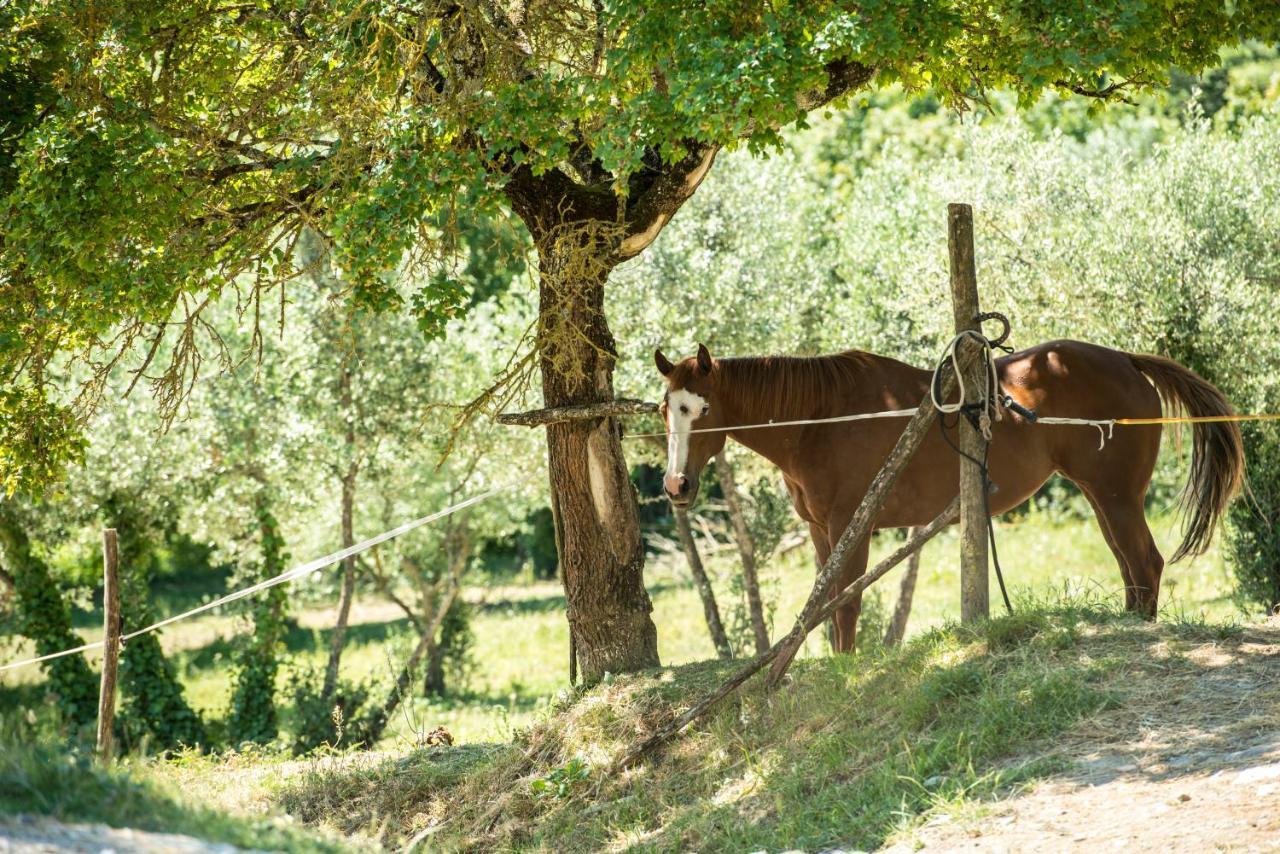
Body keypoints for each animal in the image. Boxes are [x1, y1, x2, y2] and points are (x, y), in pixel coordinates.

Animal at [655, 340, 1244, 647]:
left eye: (702, 408)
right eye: (666, 409)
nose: (677, 484)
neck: (822, 420)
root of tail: (1124, 359)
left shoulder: (853, 529)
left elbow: (846, 607)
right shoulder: (823, 534)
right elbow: (826, 610)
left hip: (1117, 496)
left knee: (1144, 563)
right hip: (1104, 498)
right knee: (1131, 565)